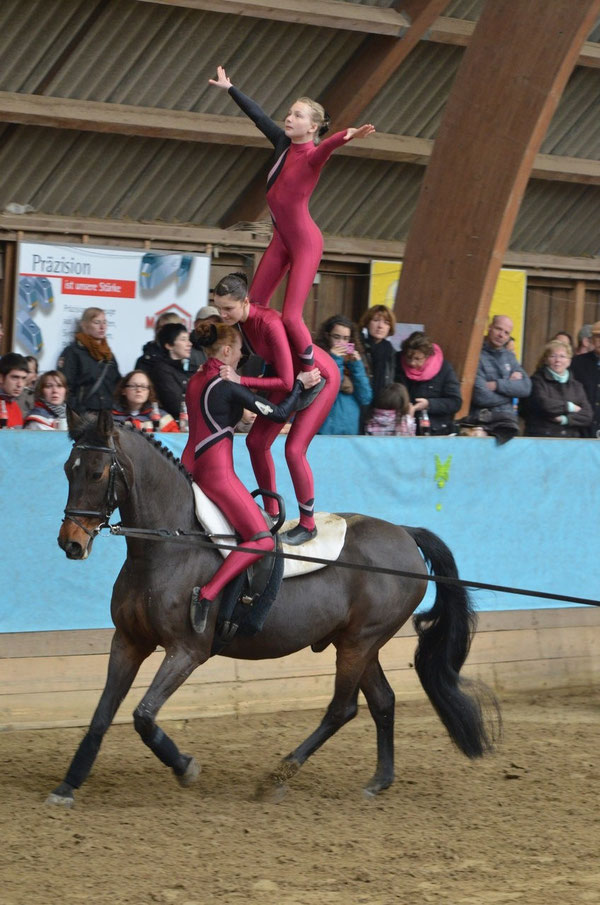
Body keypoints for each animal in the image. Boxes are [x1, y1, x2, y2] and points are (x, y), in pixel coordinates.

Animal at [51, 412, 500, 804]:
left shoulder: (186, 651)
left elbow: (143, 716)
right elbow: (102, 714)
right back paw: (379, 781)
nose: (71, 542)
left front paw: (185, 767)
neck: (168, 547)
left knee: (342, 709)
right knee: (383, 701)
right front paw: (68, 784)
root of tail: (405, 534)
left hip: (359, 643)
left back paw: (277, 776)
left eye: (96, 473)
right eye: (68, 469)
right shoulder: (128, 641)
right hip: (358, 643)